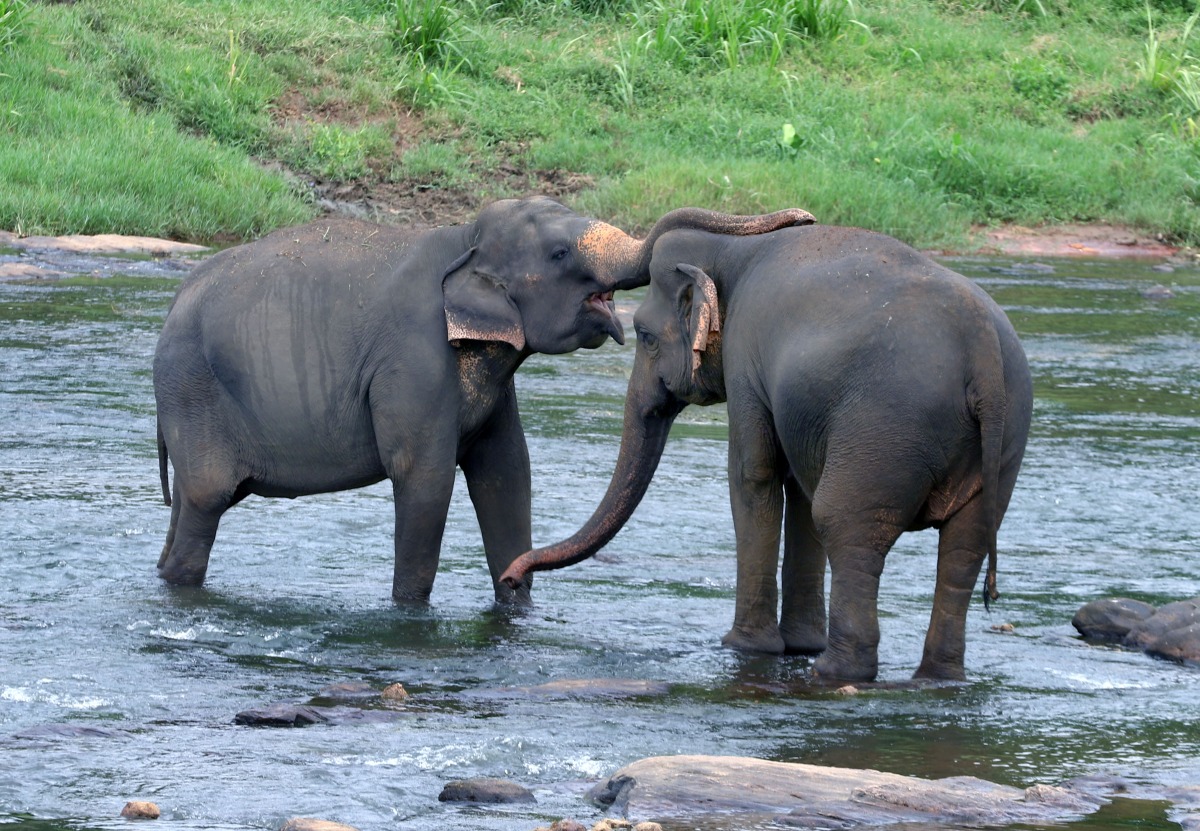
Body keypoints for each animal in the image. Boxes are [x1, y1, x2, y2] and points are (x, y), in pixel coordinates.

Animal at [153, 196, 816, 605]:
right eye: (559, 254)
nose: (806, 217)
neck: (462, 238)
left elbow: (506, 474)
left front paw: (515, 604)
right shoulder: (413, 357)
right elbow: (423, 479)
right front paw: (410, 614)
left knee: (186, 505)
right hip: (193, 391)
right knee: (205, 503)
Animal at [500, 221, 1032, 680]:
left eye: (646, 336)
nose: (511, 578)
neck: (734, 249)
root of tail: (982, 350)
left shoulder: (746, 359)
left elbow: (753, 474)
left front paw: (743, 648)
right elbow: (797, 486)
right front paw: (797, 645)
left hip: (887, 427)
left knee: (847, 525)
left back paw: (836, 672)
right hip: (1004, 440)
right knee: (964, 547)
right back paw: (935, 679)